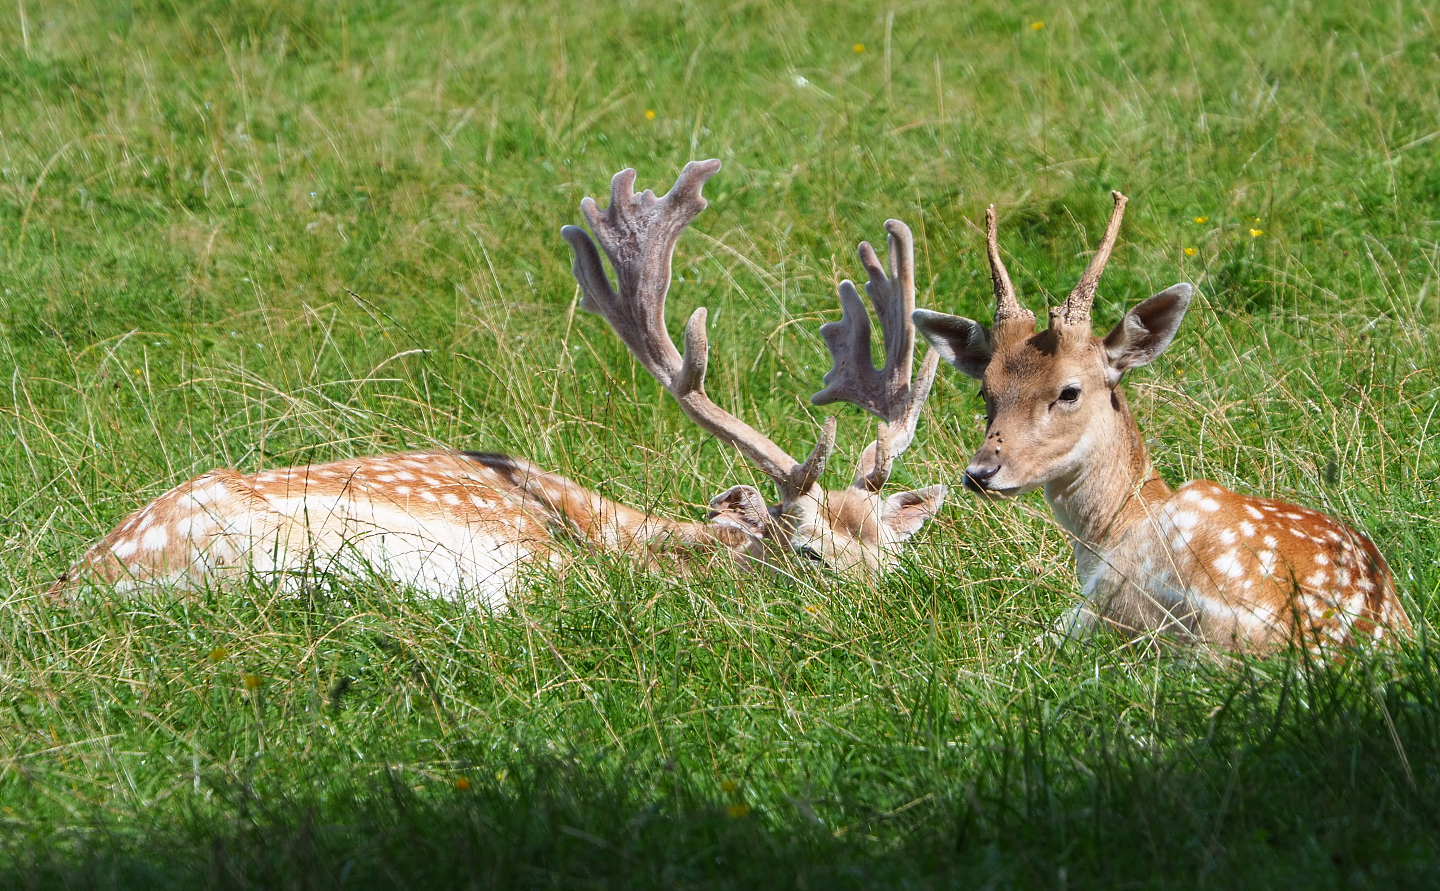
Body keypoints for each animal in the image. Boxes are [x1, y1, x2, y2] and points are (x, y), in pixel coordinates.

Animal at [49, 160, 946, 610]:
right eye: (807, 554)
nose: (886, 612)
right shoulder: (542, 559)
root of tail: (67, 590)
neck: (631, 534)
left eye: (893, 552)